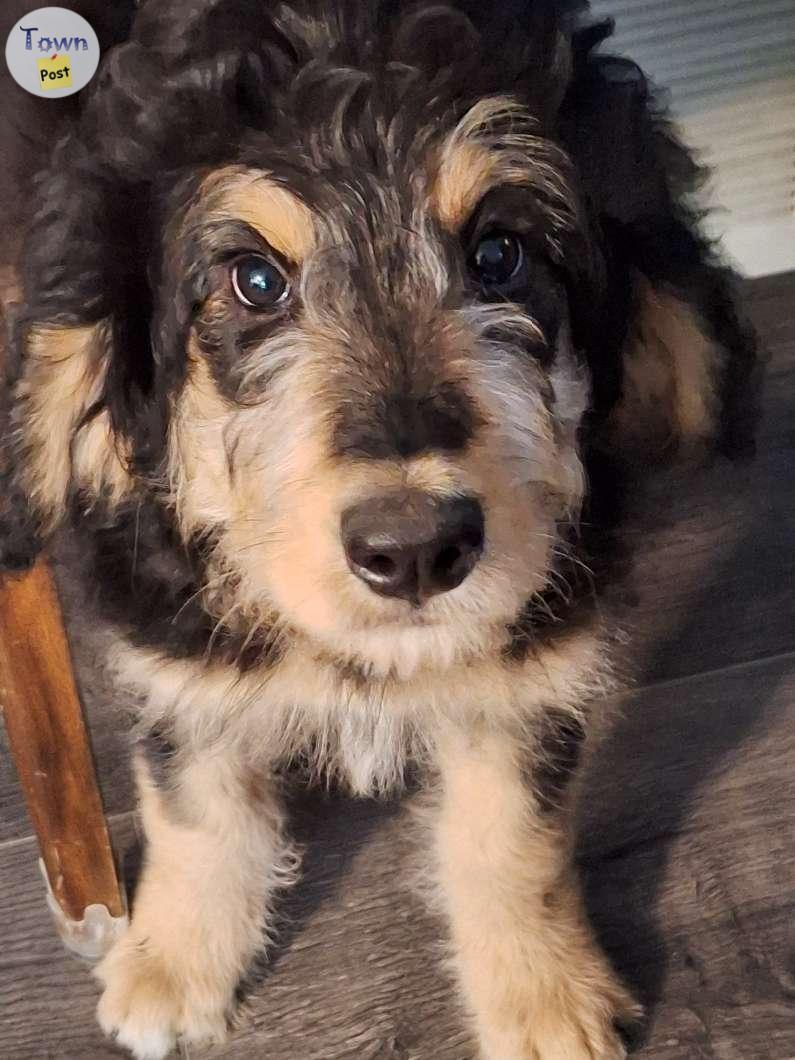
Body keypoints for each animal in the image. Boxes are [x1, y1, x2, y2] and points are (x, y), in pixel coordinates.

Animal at [0, 2, 758, 1060]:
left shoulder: (538, 658)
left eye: (499, 256)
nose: (414, 551)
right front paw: (174, 959)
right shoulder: (175, 639)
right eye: (255, 281)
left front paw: (541, 992)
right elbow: (197, 805)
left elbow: (511, 831)